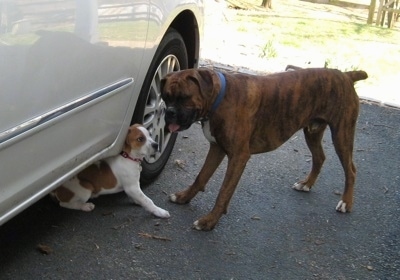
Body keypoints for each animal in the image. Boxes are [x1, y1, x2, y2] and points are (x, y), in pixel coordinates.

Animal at [161, 67, 368, 230]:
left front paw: (209, 222)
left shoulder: (238, 157)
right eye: (165, 97)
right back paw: (306, 184)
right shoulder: (216, 148)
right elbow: (201, 176)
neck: (219, 98)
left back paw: (346, 202)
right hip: (312, 131)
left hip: (342, 134)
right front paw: (184, 197)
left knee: (351, 170)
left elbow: (223, 192)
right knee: (319, 158)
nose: (169, 112)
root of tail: (346, 75)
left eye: (184, 98)